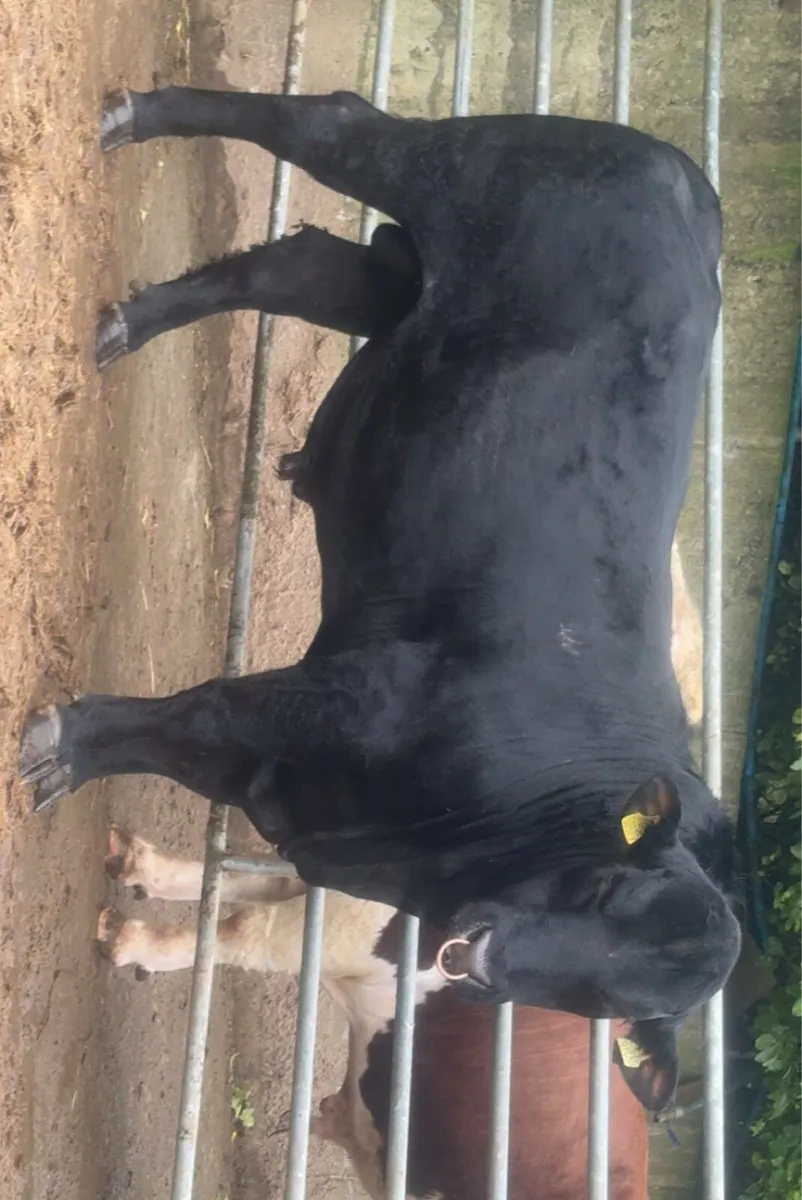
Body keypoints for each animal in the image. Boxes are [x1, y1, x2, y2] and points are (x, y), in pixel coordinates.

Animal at [20, 87, 742, 1108]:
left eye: (604, 1000)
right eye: (605, 892)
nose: (477, 959)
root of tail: (687, 180)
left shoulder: (294, 783)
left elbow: (187, 748)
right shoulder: (340, 700)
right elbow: (191, 718)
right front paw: (61, 745)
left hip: (393, 291)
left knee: (297, 268)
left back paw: (127, 323)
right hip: (453, 168)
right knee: (325, 123)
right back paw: (137, 120)